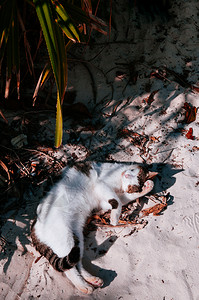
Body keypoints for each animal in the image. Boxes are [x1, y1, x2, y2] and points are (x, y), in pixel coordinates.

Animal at [31, 163, 155, 294]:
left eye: (135, 181)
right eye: (132, 171)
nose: (126, 175)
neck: (119, 182)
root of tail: (34, 227)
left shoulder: (106, 200)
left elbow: (123, 199)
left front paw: (147, 187)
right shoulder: (101, 185)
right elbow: (117, 201)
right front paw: (114, 219)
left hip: (76, 238)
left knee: (76, 263)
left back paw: (91, 280)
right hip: (64, 238)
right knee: (69, 269)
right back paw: (84, 286)